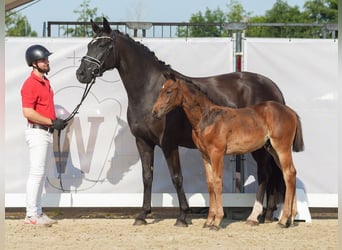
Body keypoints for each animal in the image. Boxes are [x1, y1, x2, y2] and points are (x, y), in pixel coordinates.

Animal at [77, 17, 286, 227]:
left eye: (103, 45)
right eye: (89, 45)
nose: (81, 74)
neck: (150, 91)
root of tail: (272, 87)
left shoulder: (169, 143)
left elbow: (177, 177)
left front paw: (183, 216)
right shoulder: (143, 142)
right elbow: (147, 176)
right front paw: (142, 215)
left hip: (260, 148)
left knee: (264, 175)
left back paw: (255, 216)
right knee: (271, 176)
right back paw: (267, 215)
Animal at [152, 77, 304, 229]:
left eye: (168, 91)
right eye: (160, 90)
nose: (154, 112)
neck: (207, 118)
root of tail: (291, 112)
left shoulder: (217, 153)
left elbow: (217, 181)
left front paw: (217, 221)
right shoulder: (205, 155)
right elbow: (210, 183)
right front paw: (208, 221)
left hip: (282, 148)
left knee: (288, 174)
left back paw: (283, 220)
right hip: (273, 150)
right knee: (291, 173)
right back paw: (291, 219)